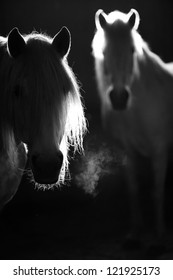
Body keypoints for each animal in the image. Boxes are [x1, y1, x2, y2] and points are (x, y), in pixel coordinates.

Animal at [92, 8, 173, 236]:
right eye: (103, 52)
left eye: (132, 51)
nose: (119, 98)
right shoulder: (127, 150)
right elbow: (133, 190)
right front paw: (136, 231)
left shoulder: (160, 151)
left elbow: (156, 192)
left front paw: (160, 233)